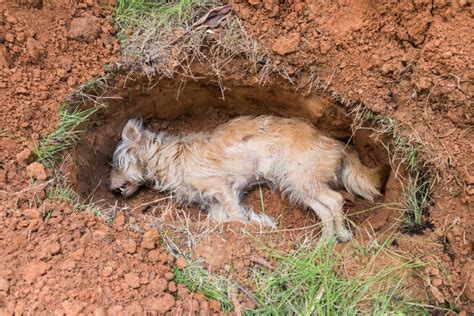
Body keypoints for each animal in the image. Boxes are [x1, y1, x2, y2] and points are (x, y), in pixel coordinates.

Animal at [108, 116, 382, 242]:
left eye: (118, 164)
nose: (109, 187)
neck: (168, 158)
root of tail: (337, 143)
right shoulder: (216, 205)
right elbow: (226, 218)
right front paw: (259, 222)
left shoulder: (224, 189)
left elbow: (237, 216)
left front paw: (259, 225)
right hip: (298, 185)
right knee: (325, 208)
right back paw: (325, 240)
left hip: (302, 179)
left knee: (336, 200)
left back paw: (342, 234)